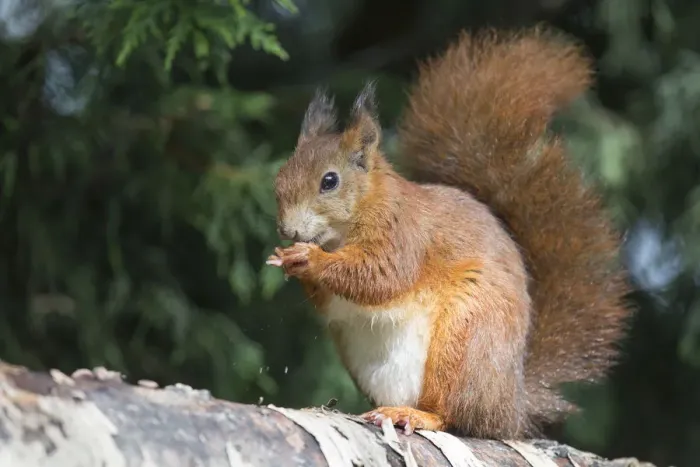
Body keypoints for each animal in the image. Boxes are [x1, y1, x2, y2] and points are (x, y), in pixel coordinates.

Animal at [266, 26, 631, 439]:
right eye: (280, 177)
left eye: (329, 181)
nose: (287, 228)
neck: (345, 228)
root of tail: (511, 408)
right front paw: (287, 257)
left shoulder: (403, 233)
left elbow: (381, 276)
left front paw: (309, 258)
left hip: (464, 339)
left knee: (454, 415)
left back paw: (416, 416)